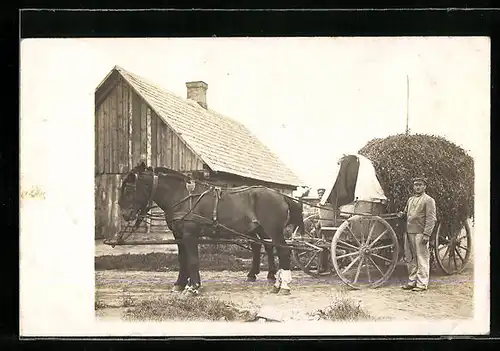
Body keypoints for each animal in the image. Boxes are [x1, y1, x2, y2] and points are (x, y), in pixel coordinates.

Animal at [115, 162, 302, 296]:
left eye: (129, 188)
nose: (125, 214)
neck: (182, 196)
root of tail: (281, 196)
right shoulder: (179, 235)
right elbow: (182, 260)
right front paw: (180, 285)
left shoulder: (190, 234)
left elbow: (192, 260)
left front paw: (194, 287)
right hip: (261, 230)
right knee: (268, 248)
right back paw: (271, 279)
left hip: (273, 230)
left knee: (283, 251)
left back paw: (283, 286)